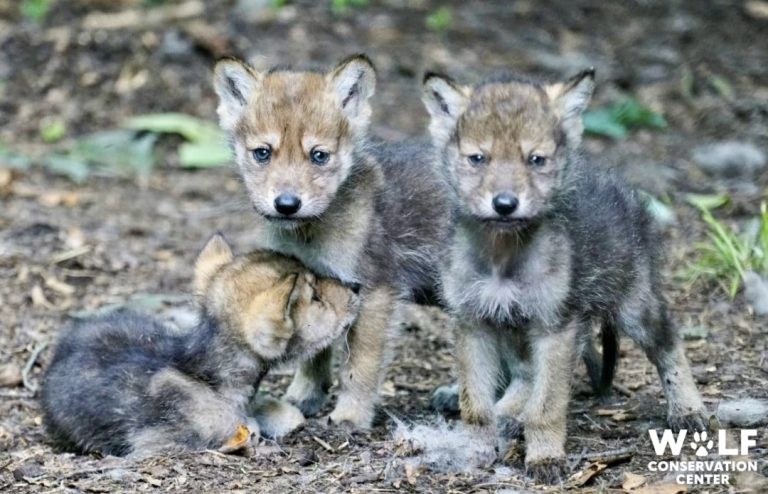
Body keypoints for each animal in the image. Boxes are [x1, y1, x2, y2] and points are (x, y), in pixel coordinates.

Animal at [212, 55, 450, 428]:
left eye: (319, 155)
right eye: (263, 153)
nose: (287, 204)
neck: (311, 235)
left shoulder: (376, 292)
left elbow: (359, 366)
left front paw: (351, 416)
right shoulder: (317, 282)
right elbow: (314, 349)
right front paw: (306, 397)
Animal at [421, 69, 707, 483]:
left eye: (535, 159)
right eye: (478, 158)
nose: (505, 204)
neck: (503, 256)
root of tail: (622, 188)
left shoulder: (555, 327)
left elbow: (547, 406)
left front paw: (544, 458)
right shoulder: (475, 322)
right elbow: (475, 405)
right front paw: (475, 451)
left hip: (634, 308)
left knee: (669, 343)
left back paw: (688, 409)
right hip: (515, 325)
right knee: (522, 375)